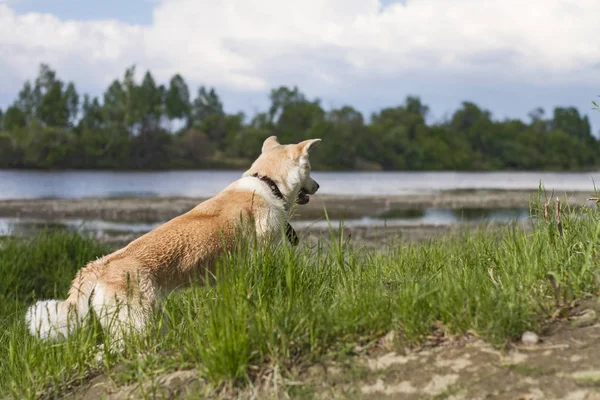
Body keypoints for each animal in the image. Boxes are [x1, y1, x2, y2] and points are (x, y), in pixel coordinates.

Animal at [25, 136, 322, 342]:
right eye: (309, 168)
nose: (318, 186)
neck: (267, 183)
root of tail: (101, 265)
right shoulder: (260, 256)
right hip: (137, 322)